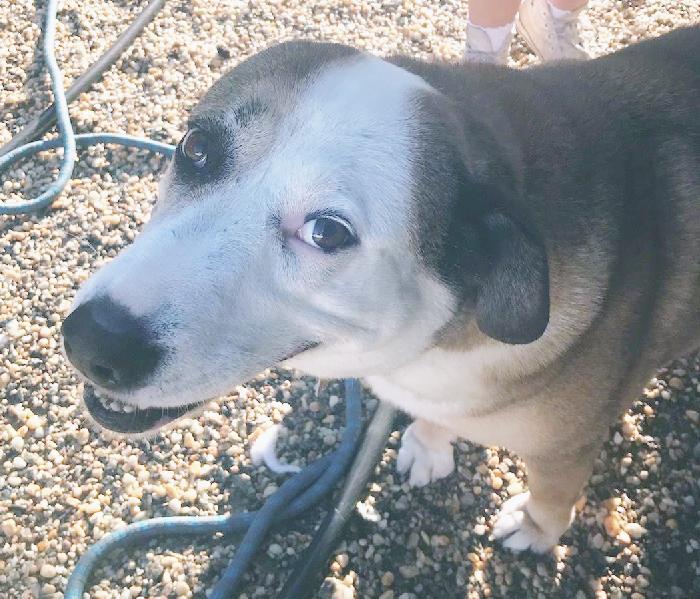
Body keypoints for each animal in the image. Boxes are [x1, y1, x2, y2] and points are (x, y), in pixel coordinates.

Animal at [62, 25, 700, 553]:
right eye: (196, 147)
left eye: (326, 232)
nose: (91, 341)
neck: (437, 344)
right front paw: (429, 443)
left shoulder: (566, 447)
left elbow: (551, 494)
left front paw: (536, 531)